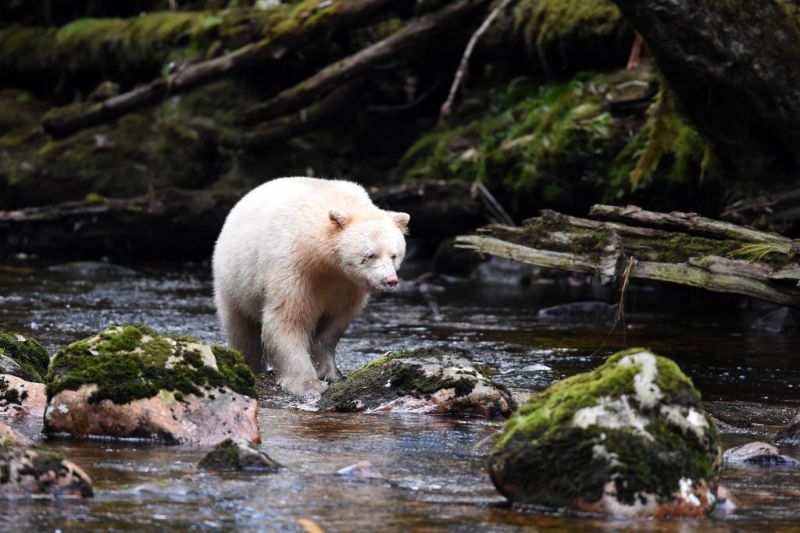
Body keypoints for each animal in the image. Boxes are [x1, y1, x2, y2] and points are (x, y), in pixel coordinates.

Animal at [209, 177, 410, 396]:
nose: (390, 280)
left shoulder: (348, 287)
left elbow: (335, 323)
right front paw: (309, 385)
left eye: (394, 255)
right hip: (233, 280)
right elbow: (287, 321)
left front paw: (328, 371)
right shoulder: (293, 267)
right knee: (241, 329)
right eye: (370, 255)